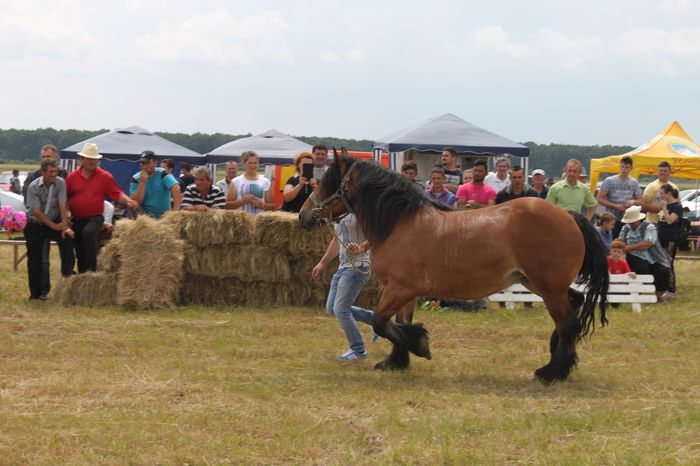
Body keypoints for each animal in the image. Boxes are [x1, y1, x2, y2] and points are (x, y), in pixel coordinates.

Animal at [299, 151, 609, 383]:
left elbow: (381, 322)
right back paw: (562, 362)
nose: (303, 216)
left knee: (567, 324)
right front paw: (396, 361)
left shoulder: (399, 289)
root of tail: (569, 216)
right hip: (540, 284)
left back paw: (551, 372)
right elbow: (398, 323)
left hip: (549, 288)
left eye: (327, 182)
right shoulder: (407, 292)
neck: (401, 223)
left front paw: (419, 345)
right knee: (575, 306)